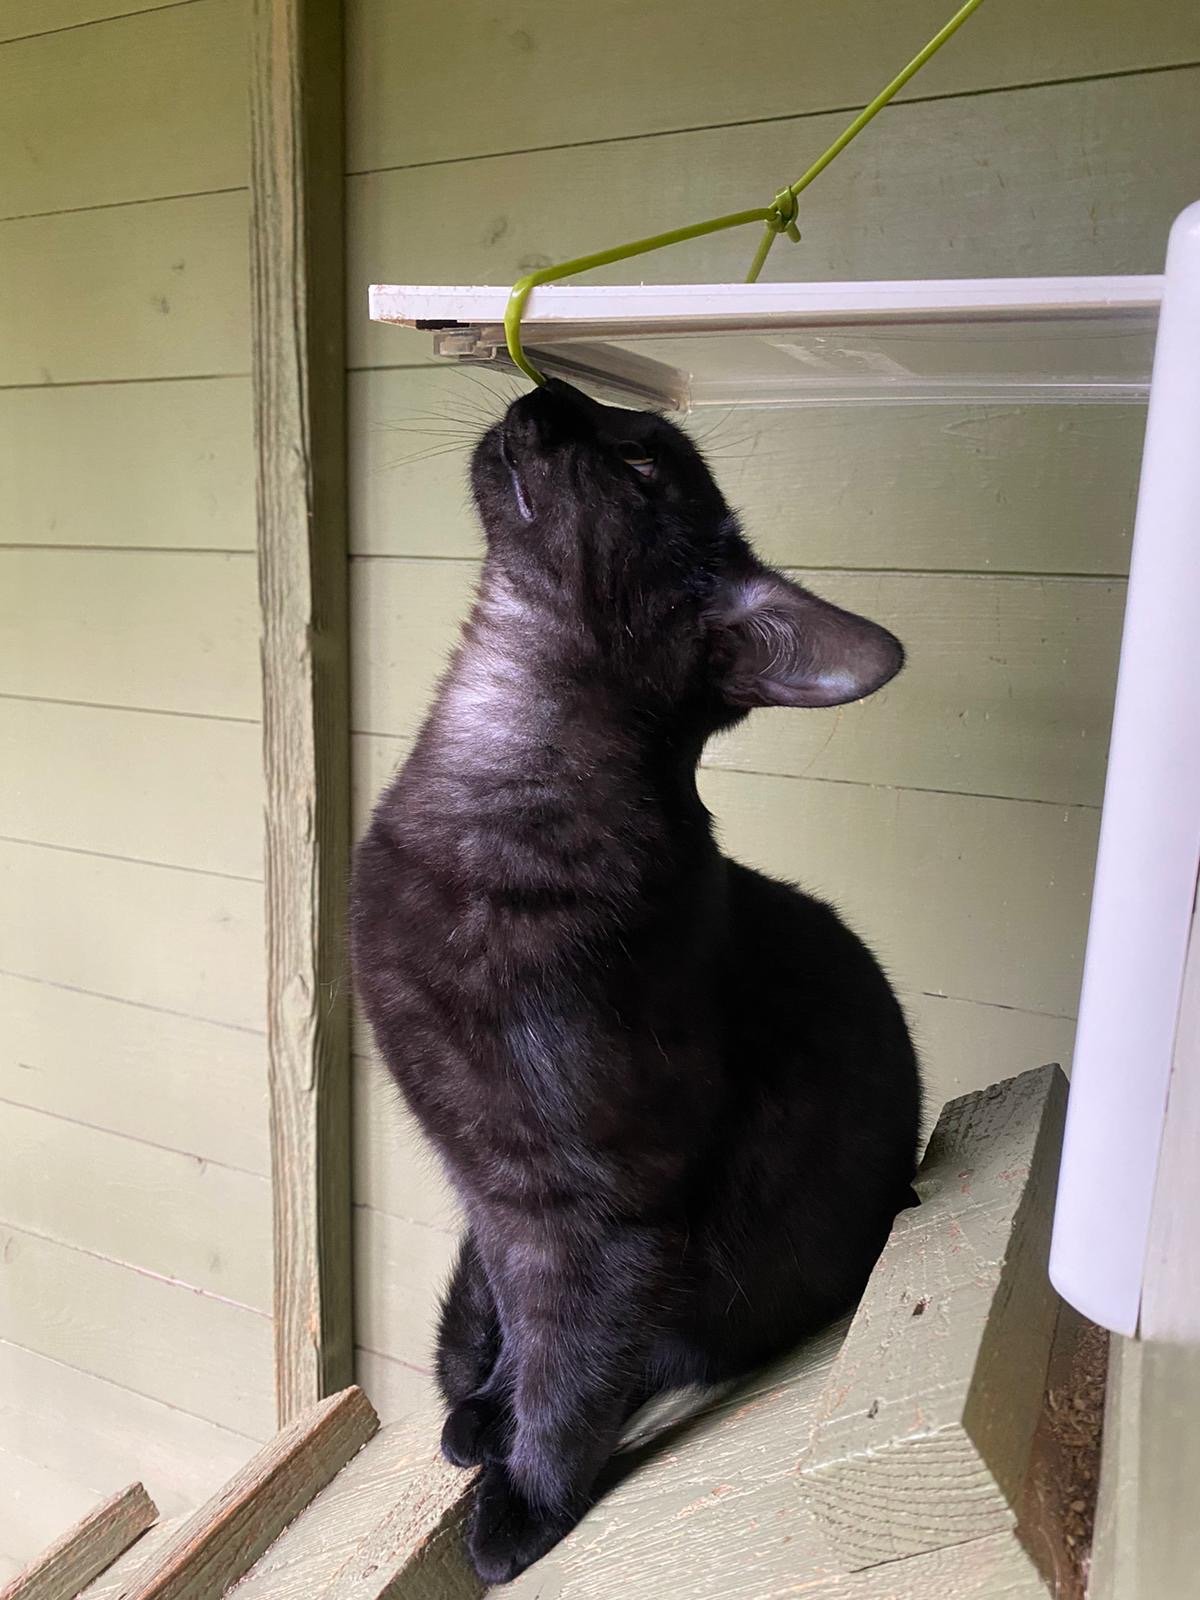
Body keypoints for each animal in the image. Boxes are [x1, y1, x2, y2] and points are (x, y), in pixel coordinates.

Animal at [352, 377, 928, 1587]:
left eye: (641, 461)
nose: (551, 389)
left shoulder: (598, 1206)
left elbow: (572, 1367)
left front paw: (525, 1504)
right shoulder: (490, 1190)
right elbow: (523, 1327)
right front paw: (492, 1409)